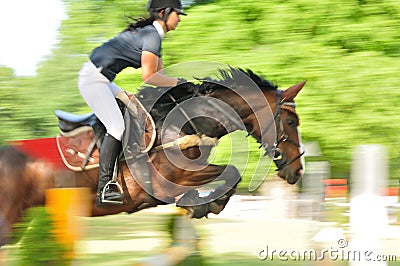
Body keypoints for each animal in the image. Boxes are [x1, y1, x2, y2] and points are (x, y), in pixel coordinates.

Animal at [0, 67, 306, 247]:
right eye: (292, 121)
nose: (298, 170)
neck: (185, 125)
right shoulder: (167, 182)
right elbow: (232, 171)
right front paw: (207, 205)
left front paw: (200, 205)